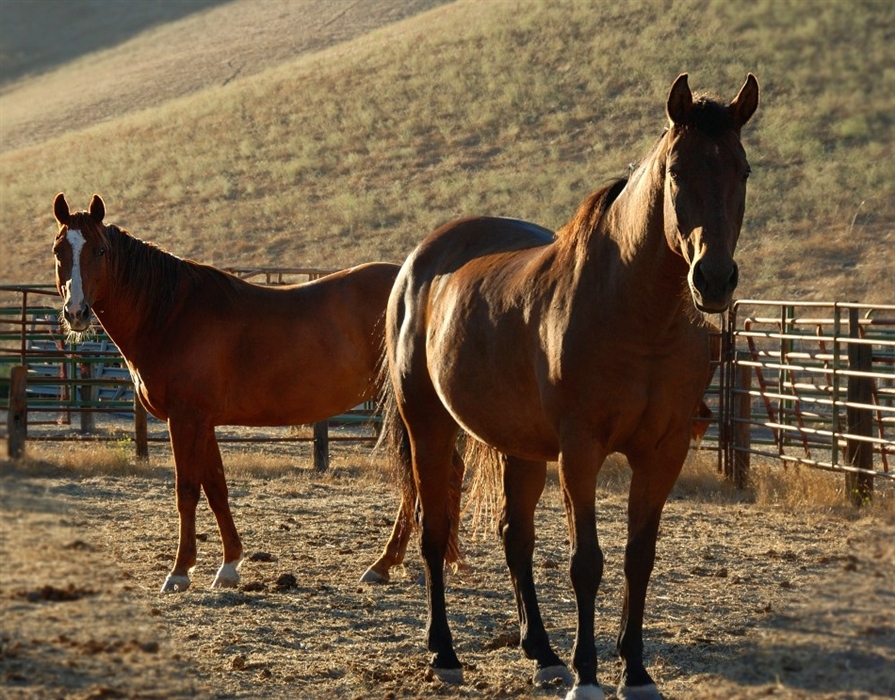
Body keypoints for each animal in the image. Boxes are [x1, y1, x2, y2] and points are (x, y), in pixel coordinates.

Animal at [53, 194, 410, 592]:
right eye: (58, 251)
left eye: (100, 250)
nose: (76, 312)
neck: (171, 314)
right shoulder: (203, 422)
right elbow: (216, 488)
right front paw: (228, 566)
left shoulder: (186, 418)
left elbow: (187, 490)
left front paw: (179, 571)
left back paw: (383, 564)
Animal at [382, 74, 760, 696]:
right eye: (676, 169)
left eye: (742, 169)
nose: (713, 279)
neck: (636, 311)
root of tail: (420, 262)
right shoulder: (581, 451)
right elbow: (588, 562)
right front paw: (587, 674)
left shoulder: (662, 452)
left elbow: (638, 557)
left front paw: (635, 670)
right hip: (429, 427)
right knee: (434, 531)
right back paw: (445, 652)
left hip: (520, 446)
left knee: (516, 537)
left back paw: (541, 651)